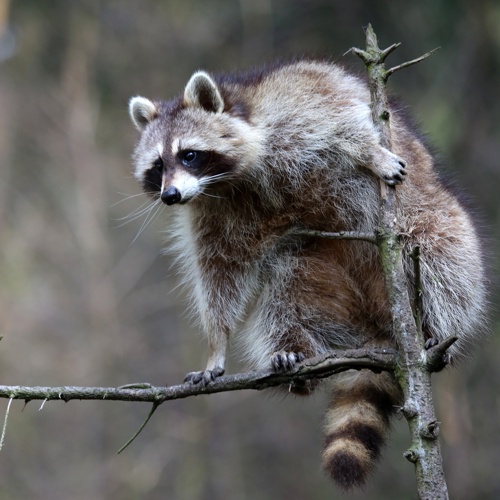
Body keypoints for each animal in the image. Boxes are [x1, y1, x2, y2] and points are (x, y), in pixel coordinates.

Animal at [128, 60, 488, 490]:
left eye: (190, 155)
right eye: (157, 166)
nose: (170, 196)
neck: (233, 180)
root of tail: (378, 326)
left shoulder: (297, 108)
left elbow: (343, 123)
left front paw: (371, 153)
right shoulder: (212, 213)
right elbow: (221, 273)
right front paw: (217, 344)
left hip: (435, 224)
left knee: (441, 258)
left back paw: (435, 326)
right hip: (318, 271)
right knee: (288, 289)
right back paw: (296, 354)